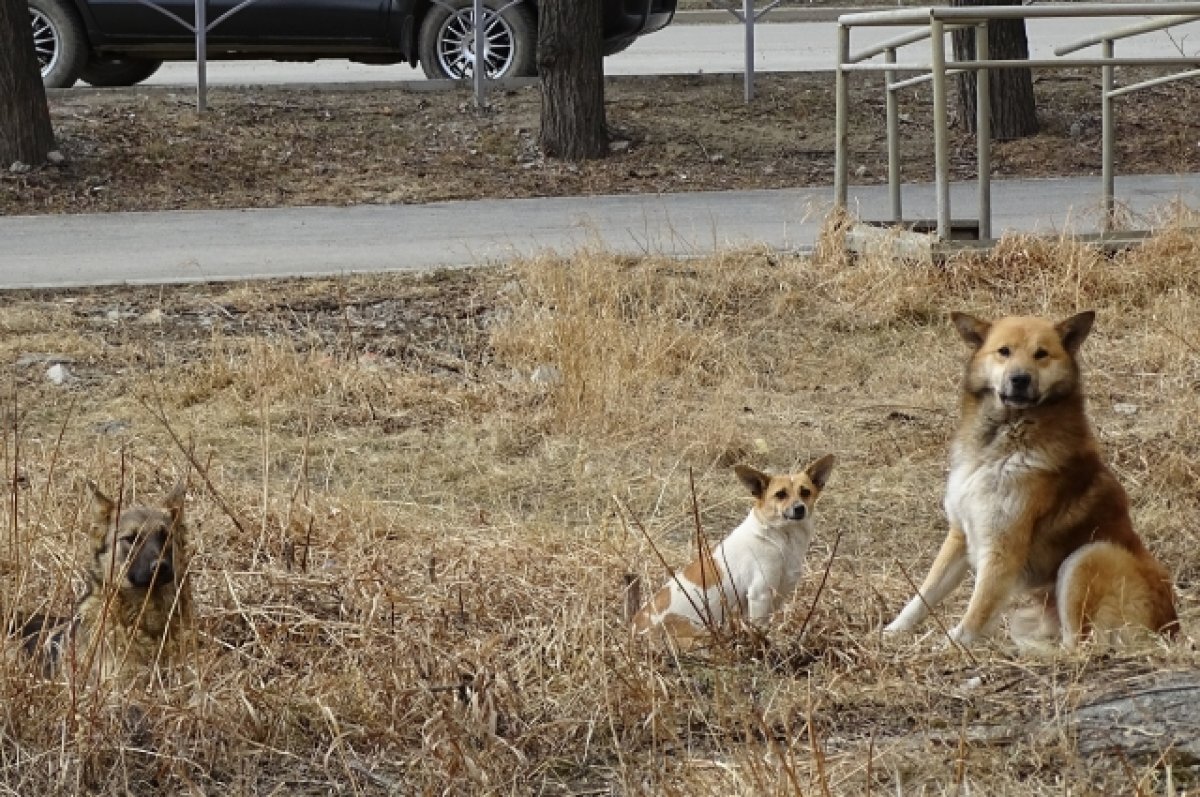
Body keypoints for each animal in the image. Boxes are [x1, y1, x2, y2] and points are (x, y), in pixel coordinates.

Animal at [628, 453, 835, 648]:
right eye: (780, 494)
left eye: (805, 491)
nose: (799, 508)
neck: (781, 538)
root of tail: (635, 629)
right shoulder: (759, 595)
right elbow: (759, 630)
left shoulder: (777, 596)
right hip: (699, 635)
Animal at [883, 312, 1180, 648]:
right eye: (1004, 351)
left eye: (1041, 354)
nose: (1020, 379)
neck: (1004, 441)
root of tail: (1171, 626)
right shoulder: (960, 533)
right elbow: (925, 594)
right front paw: (893, 631)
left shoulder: (1002, 549)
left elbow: (976, 610)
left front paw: (950, 648)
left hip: (1087, 556)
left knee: (1079, 646)